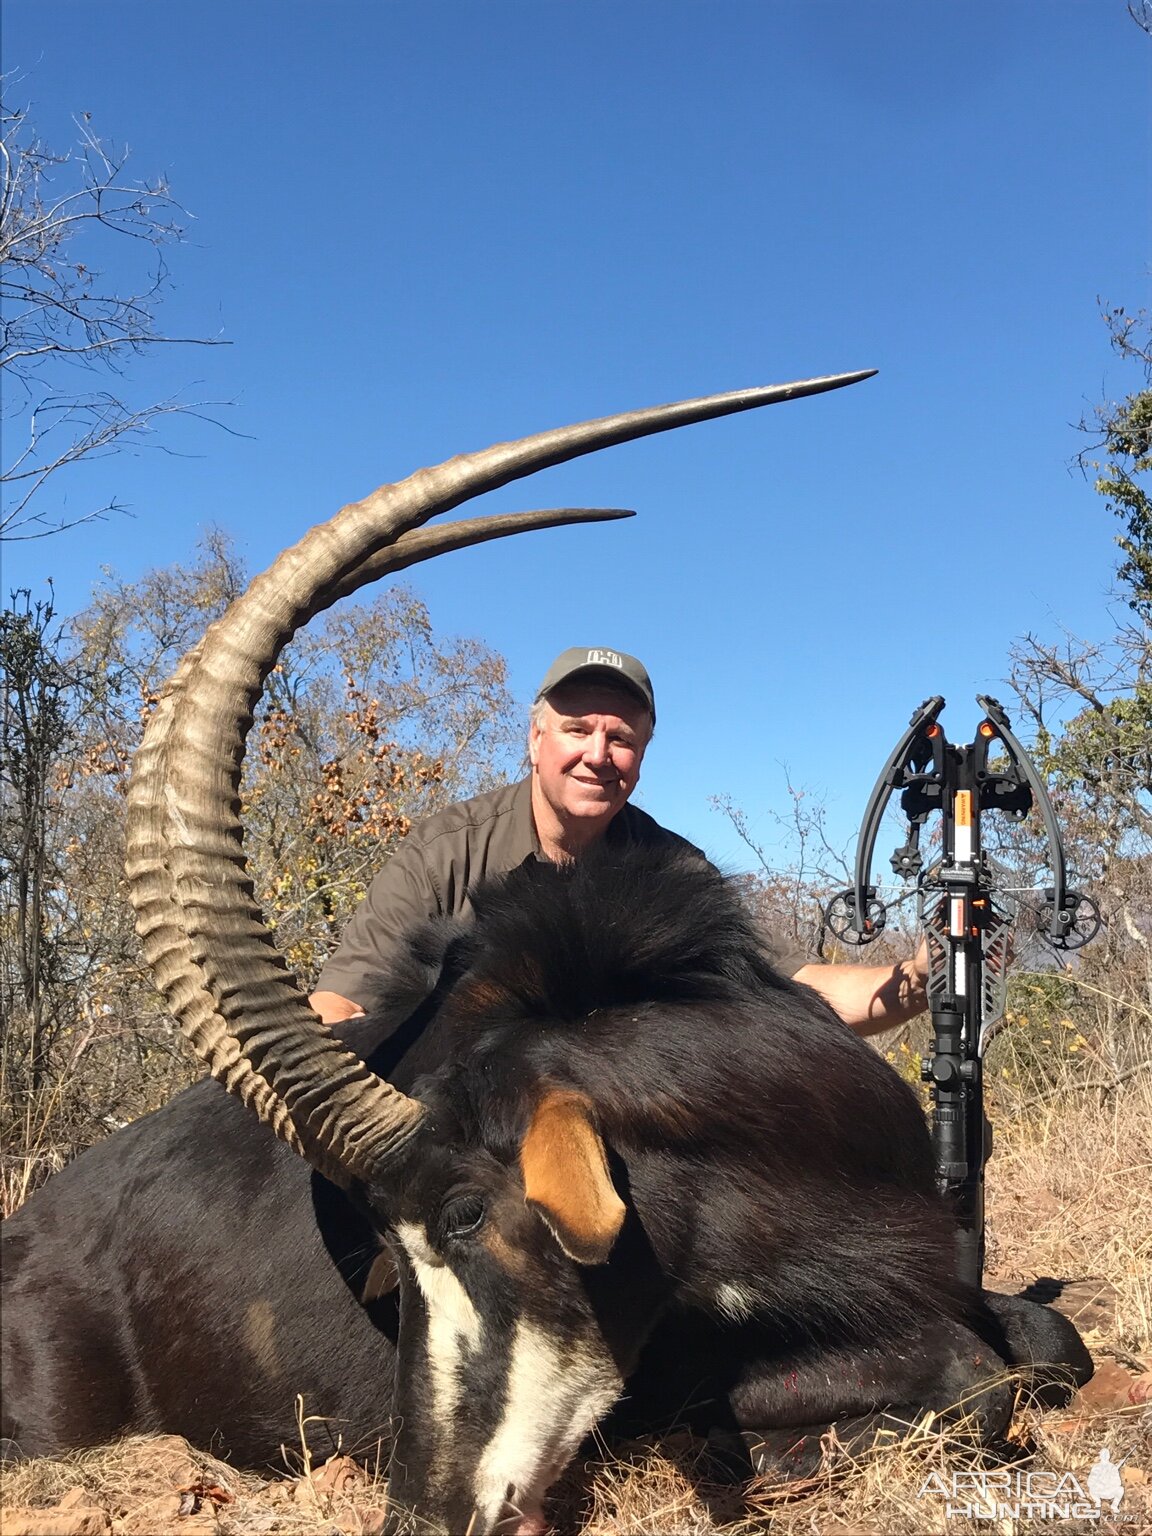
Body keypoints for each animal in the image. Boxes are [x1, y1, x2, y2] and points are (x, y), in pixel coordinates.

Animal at [0, 374, 1093, 1536]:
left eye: (464, 1214)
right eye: (387, 1255)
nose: (426, 1514)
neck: (786, 1149)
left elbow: (1043, 1343)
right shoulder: (672, 1370)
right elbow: (971, 1378)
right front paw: (784, 1451)